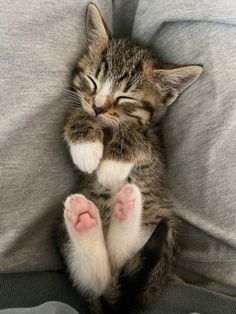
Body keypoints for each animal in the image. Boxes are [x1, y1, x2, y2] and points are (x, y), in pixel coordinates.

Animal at [60, 3, 202, 314]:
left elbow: (137, 135)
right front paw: (87, 149)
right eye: (92, 81)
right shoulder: (85, 107)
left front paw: (110, 167)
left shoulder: (158, 149)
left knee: (123, 253)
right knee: (97, 278)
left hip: (165, 230)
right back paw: (85, 218)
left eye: (125, 97)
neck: (108, 128)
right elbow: (76, 111)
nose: (98, 107)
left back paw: (125, 204)